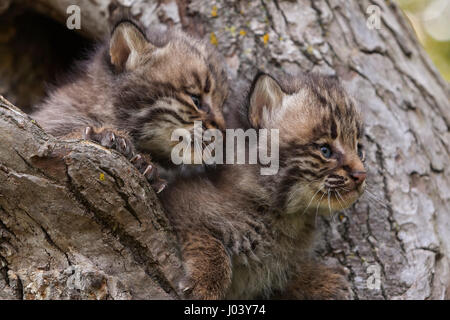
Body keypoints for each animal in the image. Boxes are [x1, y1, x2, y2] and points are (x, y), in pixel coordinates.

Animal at [31, 19, 229, 190]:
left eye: (222, 104)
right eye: (196, 100)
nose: (223, 132)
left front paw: (144, 164)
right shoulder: (52, 119)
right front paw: (108, 135)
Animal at [160, 72, 368, 300]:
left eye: (359, 149)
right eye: (325, 150)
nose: (361, 175)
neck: (285, 214)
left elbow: (285, 274)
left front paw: (322, 280)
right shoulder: (182, 196)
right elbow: (210, 241)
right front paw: (205, 285)